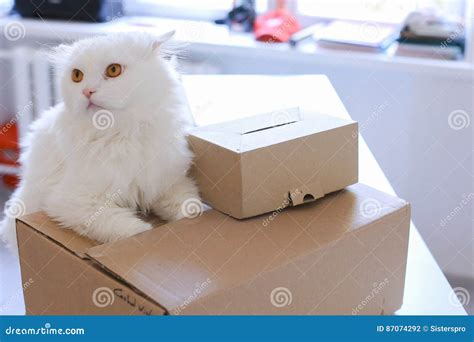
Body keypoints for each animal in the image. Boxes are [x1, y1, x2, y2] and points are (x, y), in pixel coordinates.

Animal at [0, 31, 201, 251]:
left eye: (113, 70)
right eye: (77, 76)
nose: (87, 91)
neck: (122, 134)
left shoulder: (169, 181)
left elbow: (190, 208)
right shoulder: (75, 202)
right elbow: (131, 230)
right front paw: (146, 233)